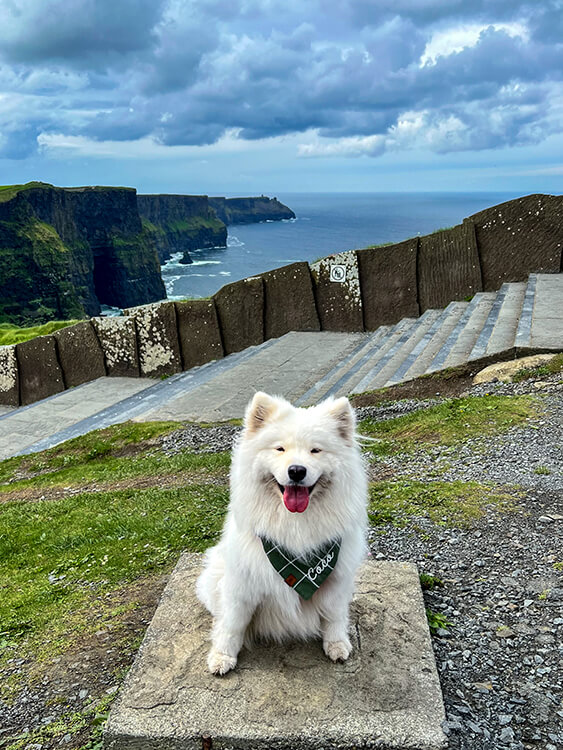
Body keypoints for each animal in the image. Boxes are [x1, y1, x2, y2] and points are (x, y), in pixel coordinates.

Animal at [196, 390, 368, 680]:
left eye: (315, 450)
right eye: (280, 449)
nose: (296, 470)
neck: (295, 525)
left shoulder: (336, 579)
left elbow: (333, 616)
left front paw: (336, 644)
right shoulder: (242, 584)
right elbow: (232, 624)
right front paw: (222, 657)